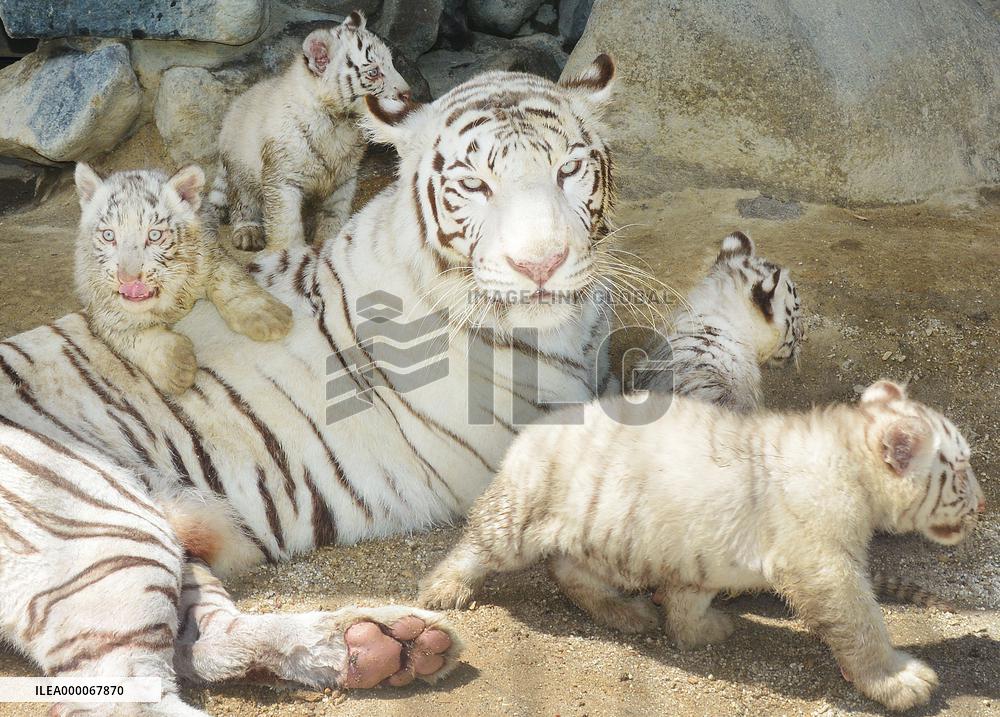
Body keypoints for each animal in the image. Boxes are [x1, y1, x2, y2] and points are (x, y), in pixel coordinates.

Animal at [74, 163, 293, 395]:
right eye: (108, 235)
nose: (127, 278)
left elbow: (233, 283)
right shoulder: (104, 314)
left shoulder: (211, 257)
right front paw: (177, 367)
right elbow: (136, 337)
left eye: (154, 235)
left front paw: (269, 316)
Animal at [208, 10, 411, 251]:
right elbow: (286, 224)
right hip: (241, 169)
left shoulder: (344, 179)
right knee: (242, 201)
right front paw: (286, 254)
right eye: (373, 72)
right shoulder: (282, 180)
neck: (340, 124)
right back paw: (248, 232)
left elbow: (334, 216)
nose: (408, 93)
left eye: (391, 63)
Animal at [419, 380, 985, 712]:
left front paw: (699, 630)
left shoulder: (702, 554)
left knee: (569, 573)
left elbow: (688, 602)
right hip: (523, 513)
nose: (983, 508)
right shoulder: (822, 561)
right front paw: (898, 680)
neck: (853, 466)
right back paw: (442, 590)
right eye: (959, 472)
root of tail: (532, 431)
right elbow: (861, 621)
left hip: (607, 538)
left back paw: (627, 614)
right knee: (479, 542)